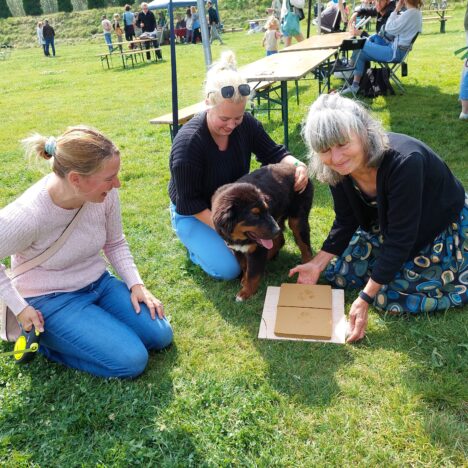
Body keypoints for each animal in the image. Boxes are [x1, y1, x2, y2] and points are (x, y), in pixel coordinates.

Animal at [212, 163, 314, 302]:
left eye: (267, 210)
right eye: (254, 215)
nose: (276, 230)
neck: (240, 238)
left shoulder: (257, 249)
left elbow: (253, 274)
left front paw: (245, 293)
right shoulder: (236, 248)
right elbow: (245, 266)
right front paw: (244, 280)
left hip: (296, 219)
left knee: (304, 246)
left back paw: (307, 266)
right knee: (280, 240)